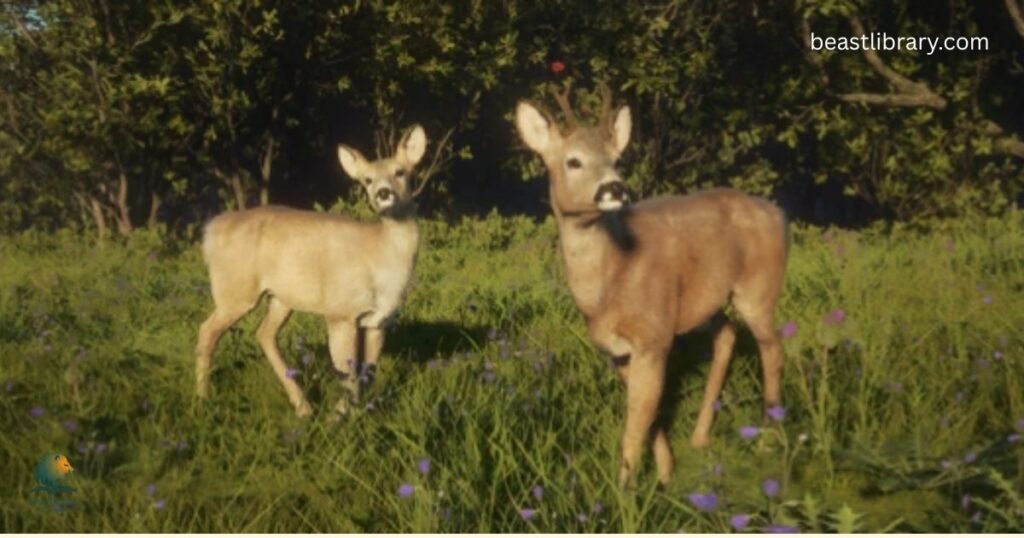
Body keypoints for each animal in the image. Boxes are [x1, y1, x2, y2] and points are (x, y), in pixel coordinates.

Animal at [195, 124, 432, 419]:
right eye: (367, 180)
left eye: (400, 172)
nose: (383, 193)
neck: (379, 256)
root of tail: (210, 231)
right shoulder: (340, 312)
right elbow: (349, 375)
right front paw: (338, 419)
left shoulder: (378, 320)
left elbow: (368, 373)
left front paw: (358, 414)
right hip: (235, 291)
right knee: (206, 331)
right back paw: (203, 399)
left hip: (281, 297)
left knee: (264, 334)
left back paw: (303, 407)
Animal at [514, 83, 789, 488]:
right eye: (573, 161)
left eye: (616, 160)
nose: (615, 188)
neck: (608, 282)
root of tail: (779, 213)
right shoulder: (617, 350)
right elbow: (649, 411)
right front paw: (665, 473)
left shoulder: (653, 334)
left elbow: (636, 420)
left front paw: (625, 491)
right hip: (706, 300)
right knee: (727, 334)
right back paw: (700, 437)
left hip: (759, 289)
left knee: (772, 349)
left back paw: (769, 437)